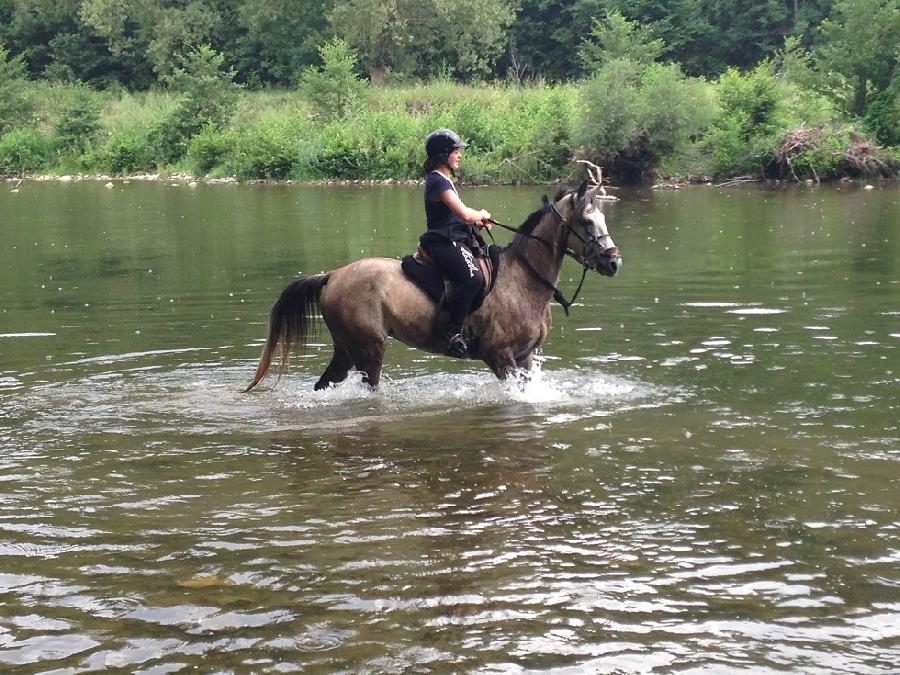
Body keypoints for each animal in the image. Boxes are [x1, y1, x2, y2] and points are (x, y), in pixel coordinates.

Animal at [243, 174, 624, 394]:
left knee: (325, 384)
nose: (614, 262)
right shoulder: (499, 356)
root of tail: (332, 275)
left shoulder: (525, 357)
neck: (525, 280)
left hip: (346, 349)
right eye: (587, 222)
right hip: (369, 349)